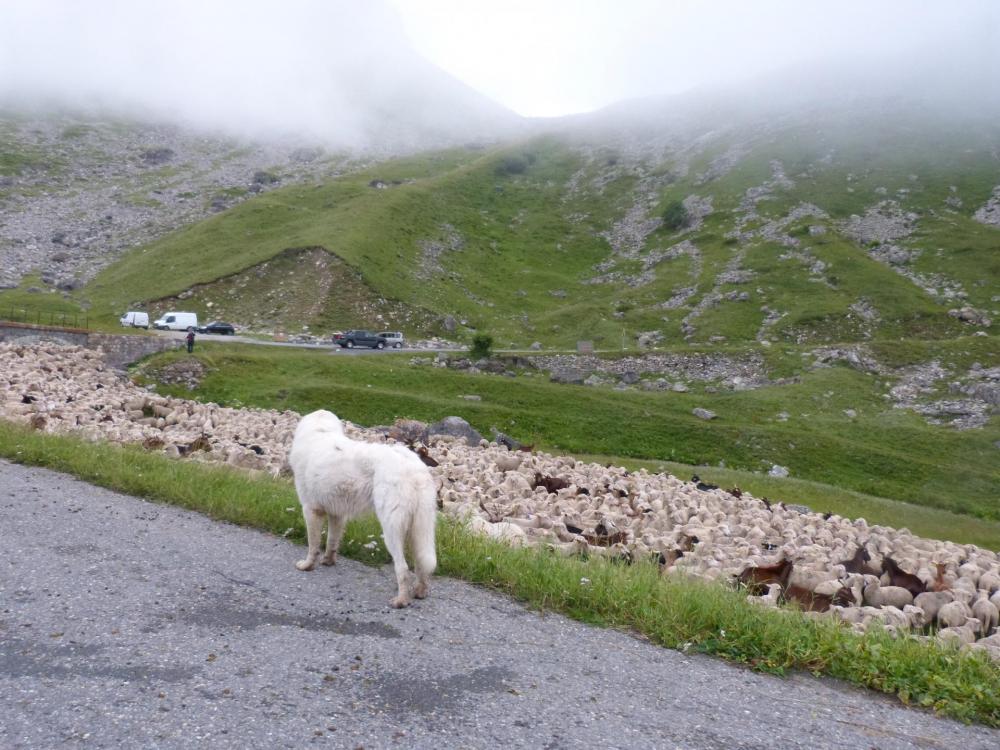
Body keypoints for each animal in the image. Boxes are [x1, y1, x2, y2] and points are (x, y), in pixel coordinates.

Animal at [286, 412, 434, 612]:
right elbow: (332, 541)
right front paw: (328, 561)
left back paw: (401, 601)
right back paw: (420, 592)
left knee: (403, 569)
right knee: (421, 564)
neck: (319, 431)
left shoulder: (311, 510)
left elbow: (313, 544)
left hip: (392, 530)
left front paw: (307, 566)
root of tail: (414, 468)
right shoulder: (337, 514)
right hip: (418, 529)